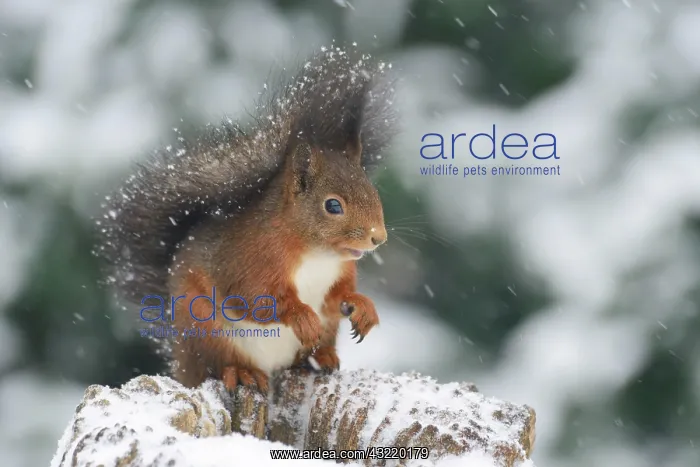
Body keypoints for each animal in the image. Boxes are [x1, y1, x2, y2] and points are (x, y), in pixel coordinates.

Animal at [97, 47, 397, 394]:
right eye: (332, 205)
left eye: (372, 190)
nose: (378, 237)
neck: (315, 253)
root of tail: (182, 364)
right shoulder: (247, 260)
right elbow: (256, 298)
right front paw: (300, 315)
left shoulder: (338, 275)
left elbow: (337, 298)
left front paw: (362, 306)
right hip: (208, 331)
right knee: (220, 364)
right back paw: (243, 373)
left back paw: (322, 356)